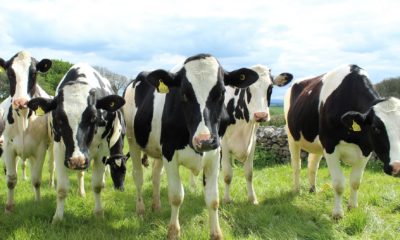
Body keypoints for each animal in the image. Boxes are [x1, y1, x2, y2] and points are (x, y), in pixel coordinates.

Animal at [0, 50, 52, 212]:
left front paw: (38, 202)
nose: (20, 102)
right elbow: (11, 179)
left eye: (34, 73)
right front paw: (9, 207)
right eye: (10, 73)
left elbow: (36, 179)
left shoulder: (41, 148)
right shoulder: (8, 146)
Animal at [27, 62, 125, 222]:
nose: (76, 160)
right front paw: (57, 218)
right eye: (59, 118)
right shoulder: (60, 149)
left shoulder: (102, 150)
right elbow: (61, 188)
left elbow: (97, 185)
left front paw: (99, 213)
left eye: (93, 117)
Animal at [122, 53, 260, 239]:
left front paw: (216, 233)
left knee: (156, 175)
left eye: (221, 92)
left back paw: (156, 206)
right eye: (184, 94)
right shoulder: (169, 154)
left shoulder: (215, 154)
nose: (204, 140)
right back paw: (141, 209)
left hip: (158, 150)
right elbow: (176, 196)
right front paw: (173, 231)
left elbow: (213, 198)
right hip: (132, 141)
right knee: (138, 176)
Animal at [222, 65, 290, 204]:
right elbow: (227, 175)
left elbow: (249, 173)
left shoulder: (252, 142)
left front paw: (252, 199)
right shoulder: (224, 144)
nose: (261, 115)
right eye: (247, 88)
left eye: (270, 87)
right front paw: (226, 200)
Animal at [284, 64, 400, 218]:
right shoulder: (330, 145)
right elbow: (339, 184)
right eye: (375, 128)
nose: (397, 167)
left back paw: (312, 189)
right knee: (296, 165)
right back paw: (297, 189)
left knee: (312, 165)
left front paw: (353, 207)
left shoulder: (366, 149)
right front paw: (338, 213)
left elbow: (356, 182)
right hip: (292, 137)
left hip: (317, 144)